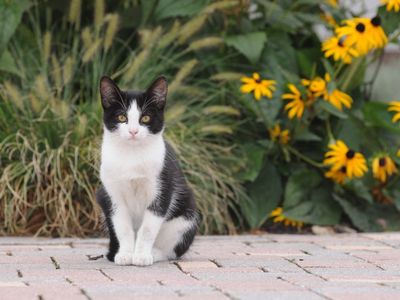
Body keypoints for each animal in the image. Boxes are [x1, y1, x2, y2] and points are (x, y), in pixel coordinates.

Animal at [95, 76, 198, 266]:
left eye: (146, 118)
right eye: (122, 117)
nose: (133, 131)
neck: (132, 155)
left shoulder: (161, 191)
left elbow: (148, 229)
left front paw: (142, 255)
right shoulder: (113, 195)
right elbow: (123, 228)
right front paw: (125, 254)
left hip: (187, 216)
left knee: (173, 250)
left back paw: (155, 253)